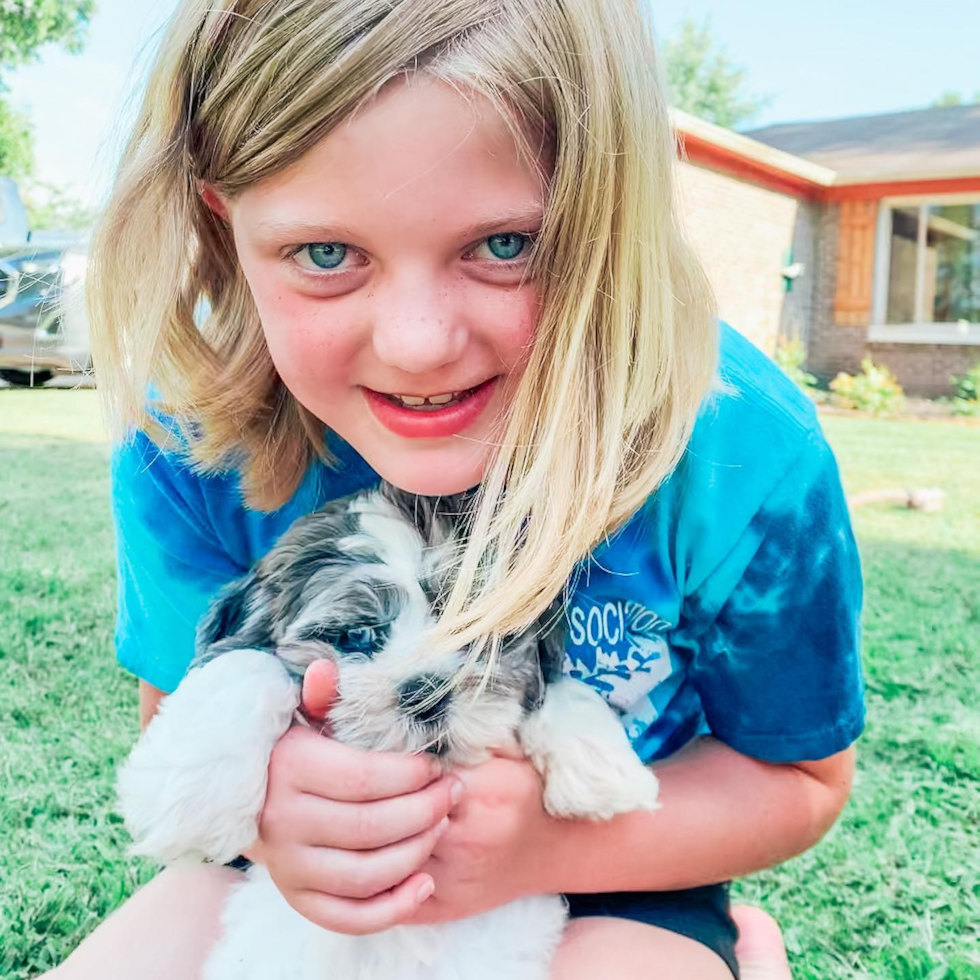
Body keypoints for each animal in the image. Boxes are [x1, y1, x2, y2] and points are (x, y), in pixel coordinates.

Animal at [120, 484, 660, 980]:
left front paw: (600, 766)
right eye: (357, 636)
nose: (429, 691)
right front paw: (195, 798)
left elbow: (559, 686)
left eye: (476, 632)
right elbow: (244, 663)